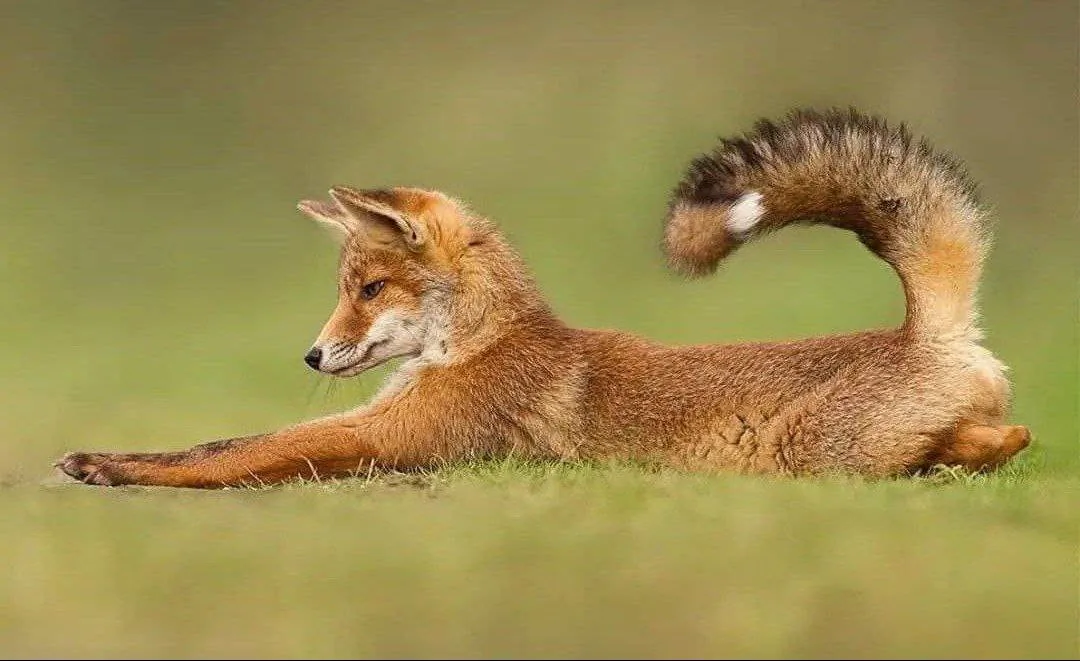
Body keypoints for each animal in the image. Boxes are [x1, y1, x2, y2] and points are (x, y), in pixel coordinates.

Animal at [55, 108, 1030, 488]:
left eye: (370, 289)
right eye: (345, 290)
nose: (312, 354)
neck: (480, 345)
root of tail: (925, 331)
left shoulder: (387, 437)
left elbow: (233, 451)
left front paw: (111, 466)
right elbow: (222, 439)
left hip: (815, 455)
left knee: (991, 443)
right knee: (1001, 438)